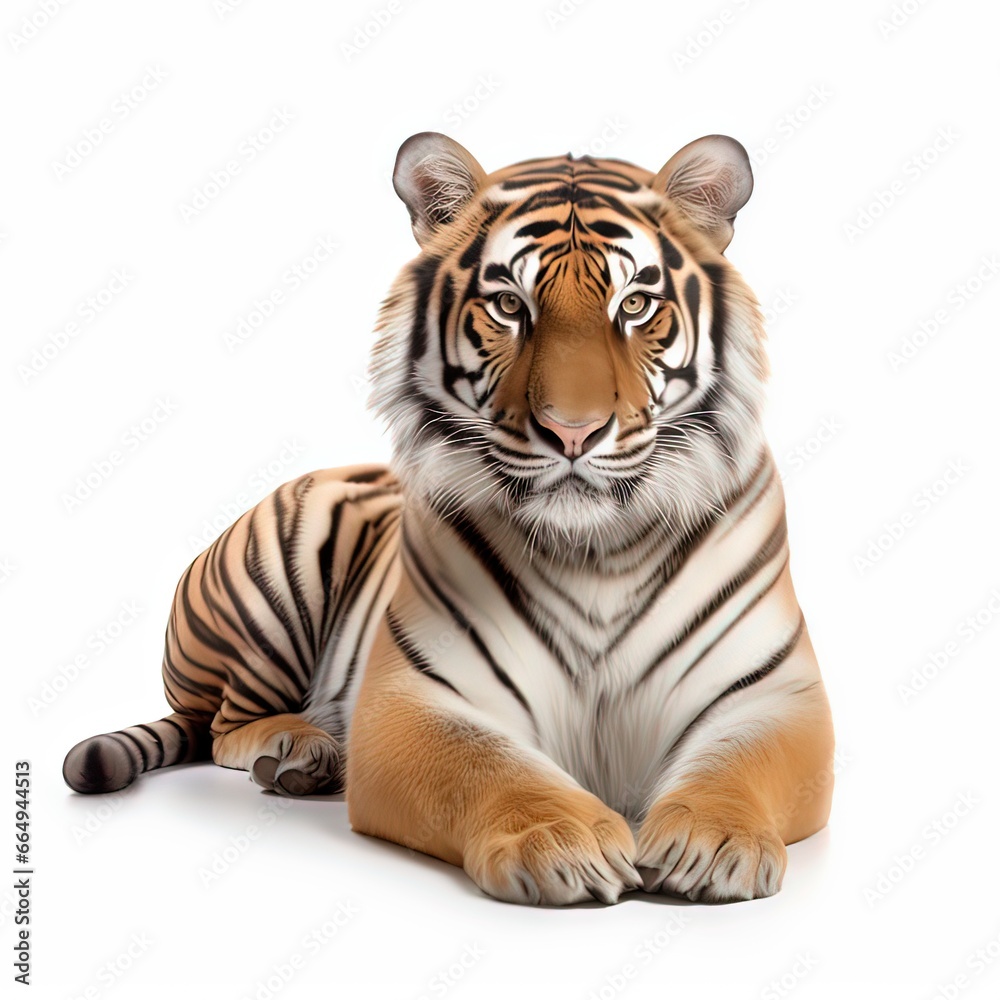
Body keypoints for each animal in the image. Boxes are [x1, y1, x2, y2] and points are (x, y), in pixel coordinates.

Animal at [63, 131, 835, 906]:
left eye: (637, 304)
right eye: (509, 305)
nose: (574, 431)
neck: (597, 550)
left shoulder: (776, 696)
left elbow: (736, 765)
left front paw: (715, 842)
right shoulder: (413, 698)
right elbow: (489, 767)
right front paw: (560, 839)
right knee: (224, 724)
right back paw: (299, 750)